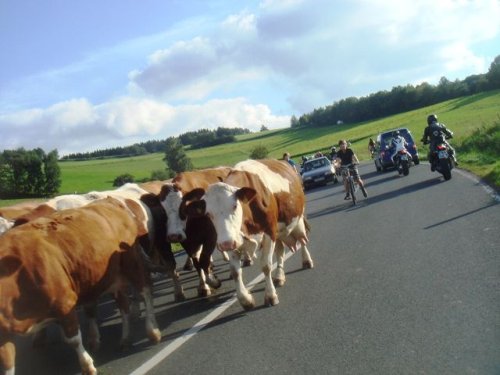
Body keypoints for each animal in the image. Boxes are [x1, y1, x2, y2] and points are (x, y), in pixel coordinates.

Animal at [0, 197, 160, 375]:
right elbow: (7, 364)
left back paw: (153, 330)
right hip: (113, 278)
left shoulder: (65, 303)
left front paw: (87, 365)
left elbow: (73, 339)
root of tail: (109, 200)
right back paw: (125, 339)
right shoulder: (3, 335)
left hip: (132, 264)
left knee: (145, 291)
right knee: (124, 305)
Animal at [158, 169, 232, 298]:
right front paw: (203, 286)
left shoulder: (210, 236)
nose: (173, 236)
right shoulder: (188, 242)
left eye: (183, 208)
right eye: (163, 211)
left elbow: (204, 259)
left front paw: (213, 281)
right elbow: (197, 263)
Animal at [186, 160, 314, 310]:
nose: (225, 244)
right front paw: (245, 299)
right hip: (278, 232)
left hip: (298, 220)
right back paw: (279, 276)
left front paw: (270, 295)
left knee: (302, 241)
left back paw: (306, 261)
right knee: (280, 250)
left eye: (235, 206)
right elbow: (235, 271)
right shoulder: (234, 238)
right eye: (208, 213)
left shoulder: (269, 232)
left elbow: (266, 265)